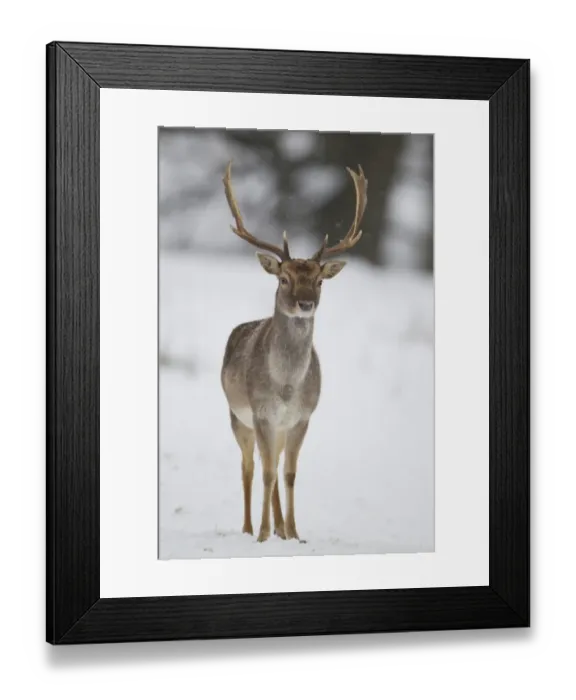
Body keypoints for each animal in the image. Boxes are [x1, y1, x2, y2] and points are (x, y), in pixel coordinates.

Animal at [220, 160, 368, 543]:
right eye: (283, 279)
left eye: (319, 280)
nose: (305, 303)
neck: (286, 386)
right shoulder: (261, 413)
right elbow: (267, 473)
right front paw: (261, 535)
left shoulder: (302, 417)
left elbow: (287, 475)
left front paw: (295, 533)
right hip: (237, 417)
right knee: (249, 467)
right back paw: (248, 528)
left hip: (279, 429)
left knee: (271, 466)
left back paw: (281, 529)